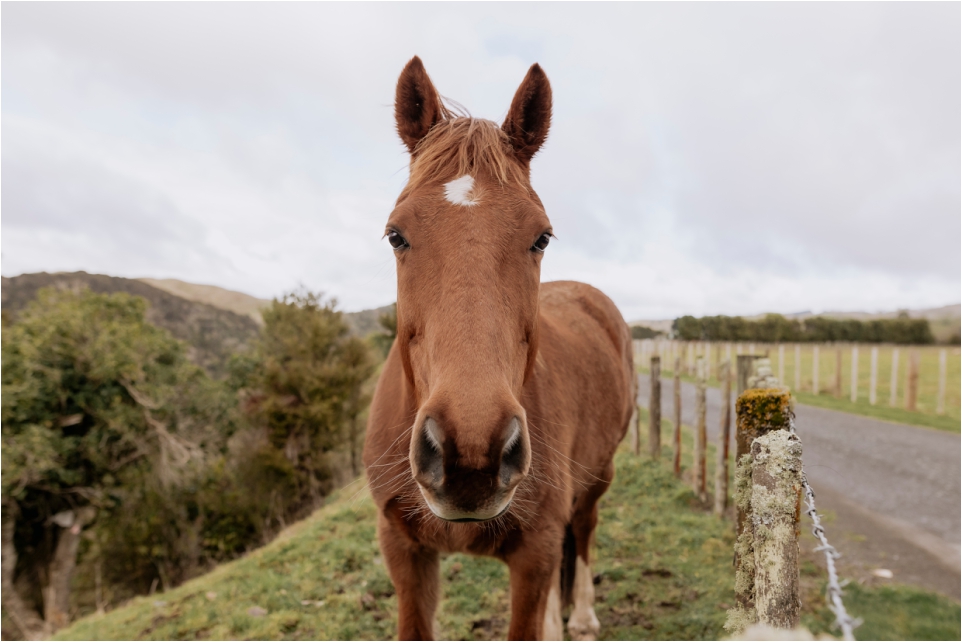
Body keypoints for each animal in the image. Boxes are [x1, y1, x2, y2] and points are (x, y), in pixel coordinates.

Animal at [362, 56, 637, 641]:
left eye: (542, 237)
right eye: (396, 234)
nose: (472, 453)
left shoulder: (533, 556)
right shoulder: (402, 549)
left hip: (598, 476)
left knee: (584, 529)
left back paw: (581, 616)